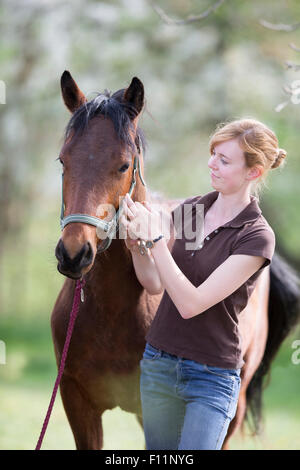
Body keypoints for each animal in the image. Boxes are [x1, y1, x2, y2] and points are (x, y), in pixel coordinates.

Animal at [51, 71, 300, 450]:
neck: (112, 311)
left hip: (234, 406)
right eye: (64, 160)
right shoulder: (78, 403)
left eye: (123, 164)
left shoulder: (153, 407)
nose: (74, 254)